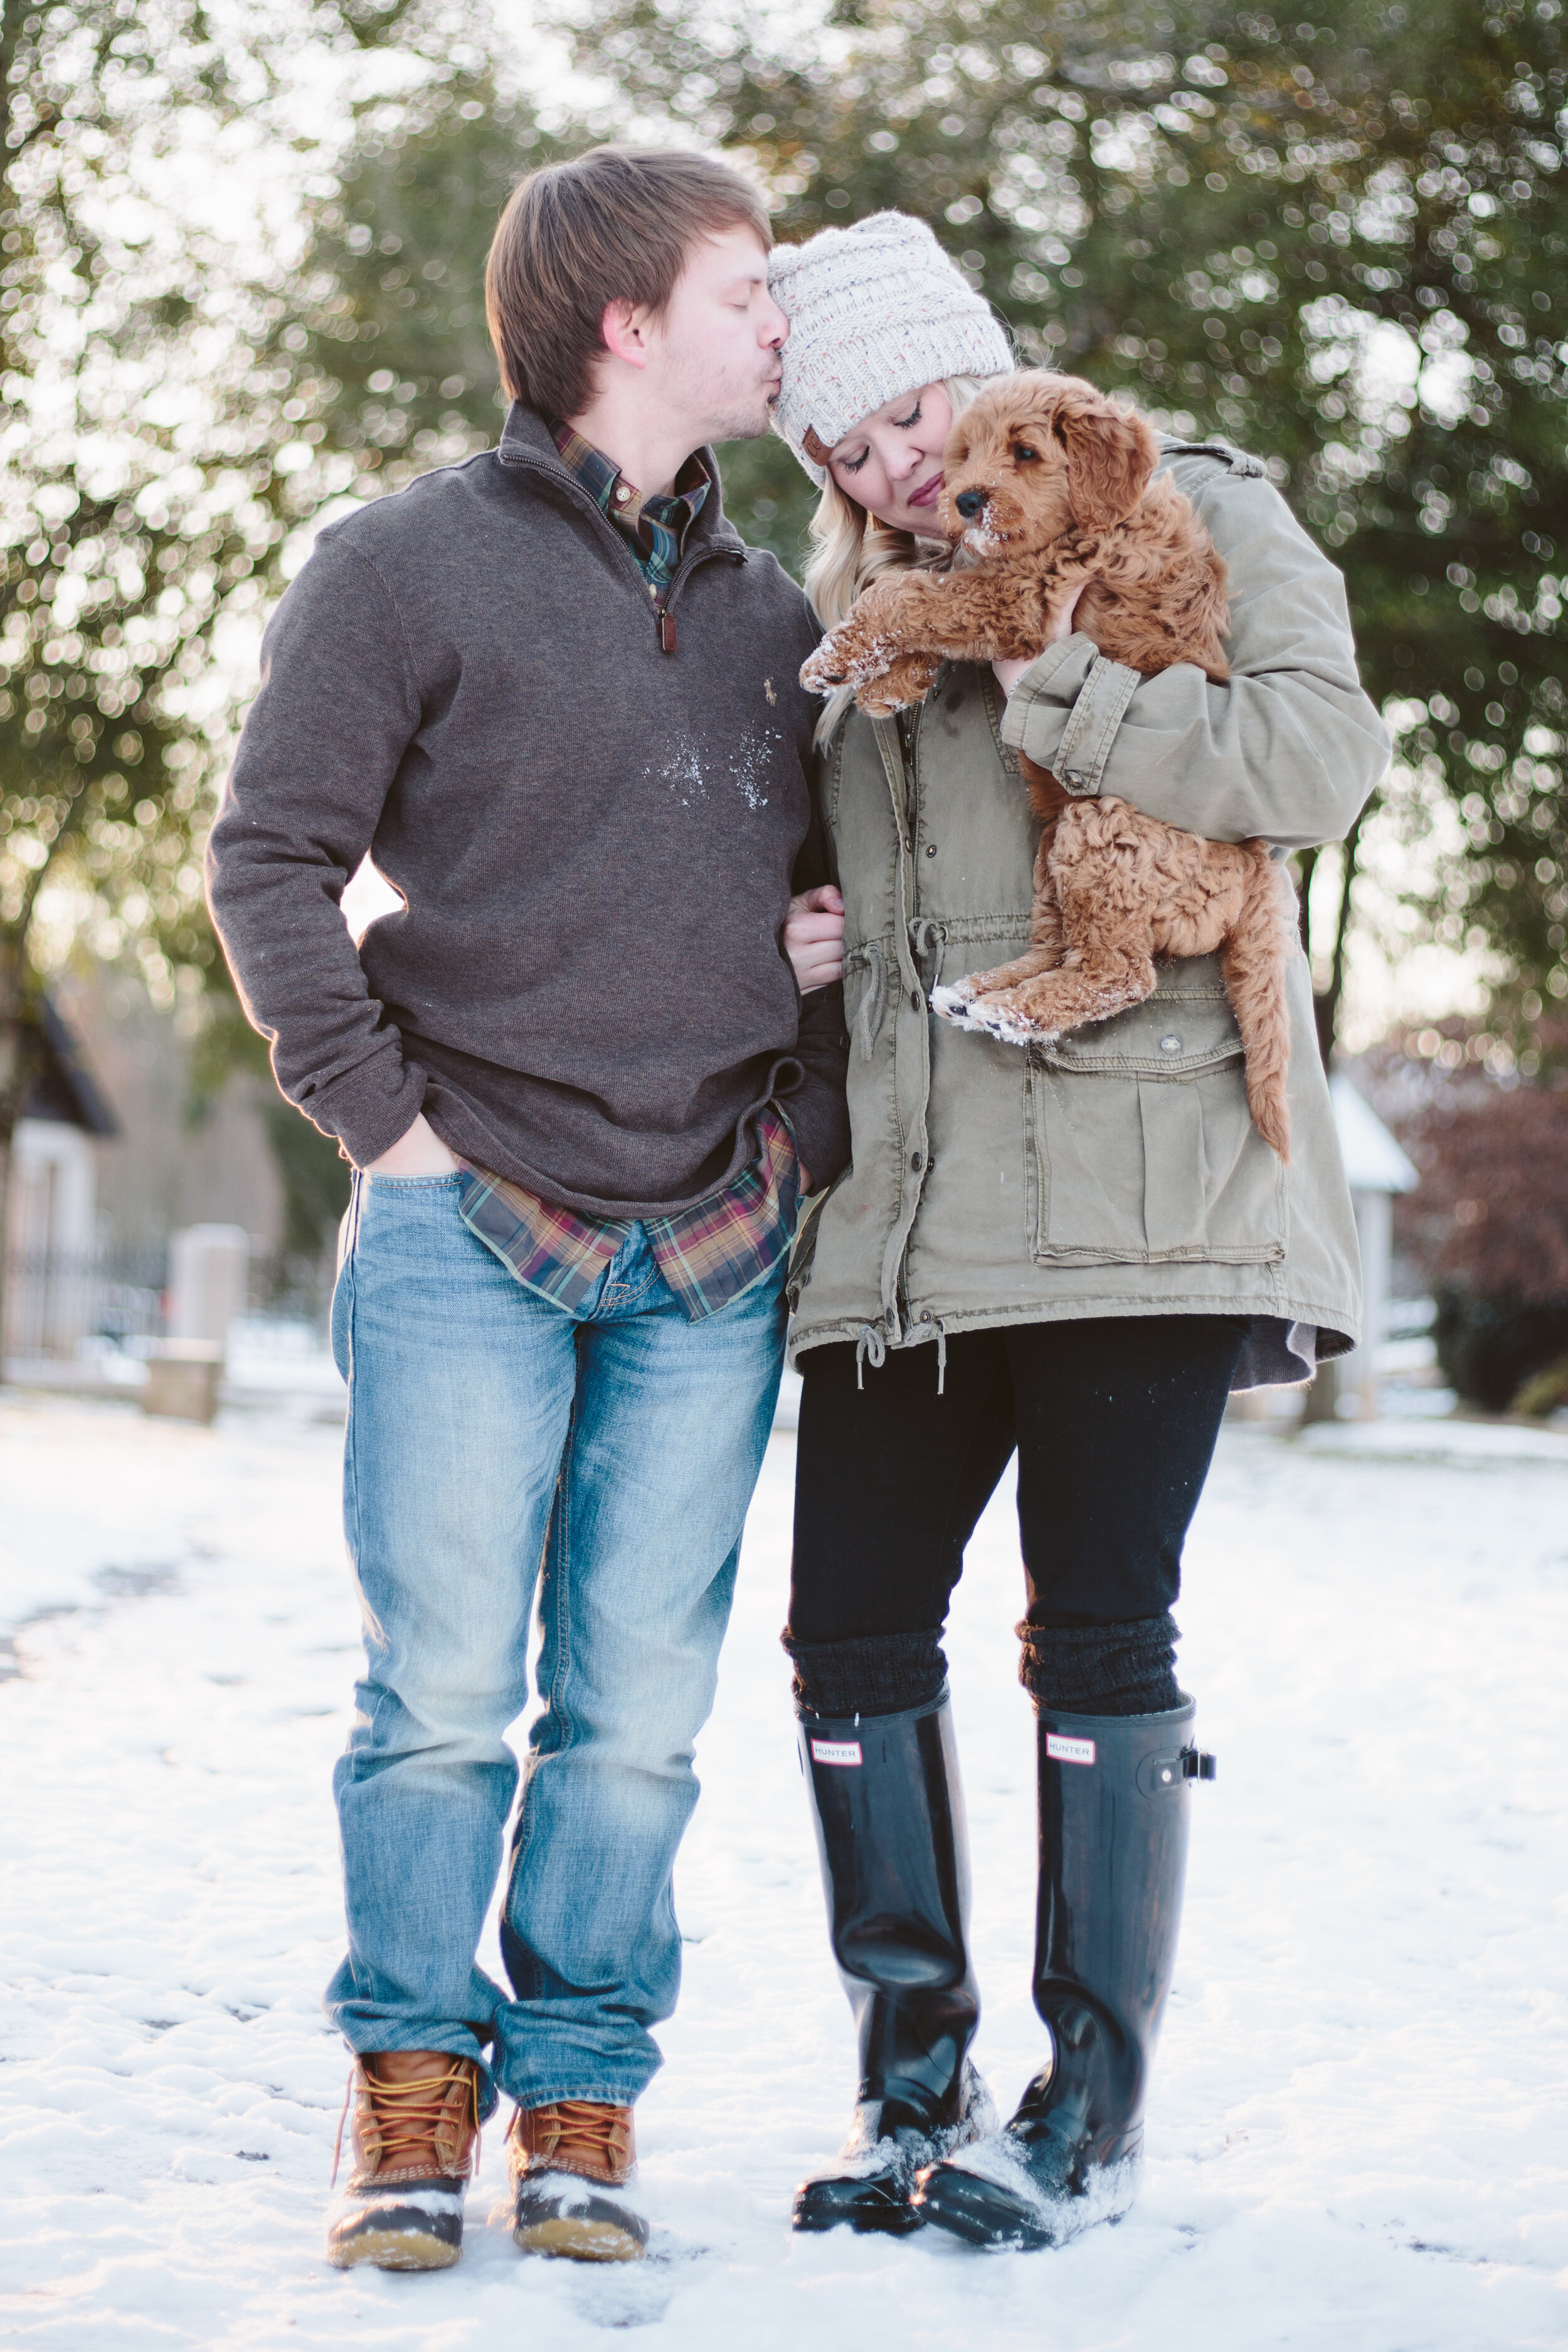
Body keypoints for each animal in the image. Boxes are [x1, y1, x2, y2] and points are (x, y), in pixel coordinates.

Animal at [803, 369, 1297, 1167]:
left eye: (1027, 452)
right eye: (962, 454)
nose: (964, 501)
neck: (1081, 523)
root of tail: (1254, 861)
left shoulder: (1018, 600)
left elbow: (907, 594)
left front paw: (835, 659)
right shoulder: (992, 585)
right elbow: (924, 601)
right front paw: (886, 685)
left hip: (1104, 837)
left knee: (1115, 974)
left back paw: (1010, 1010)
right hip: (1054, 854)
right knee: (1059, 947)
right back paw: (981, 993)